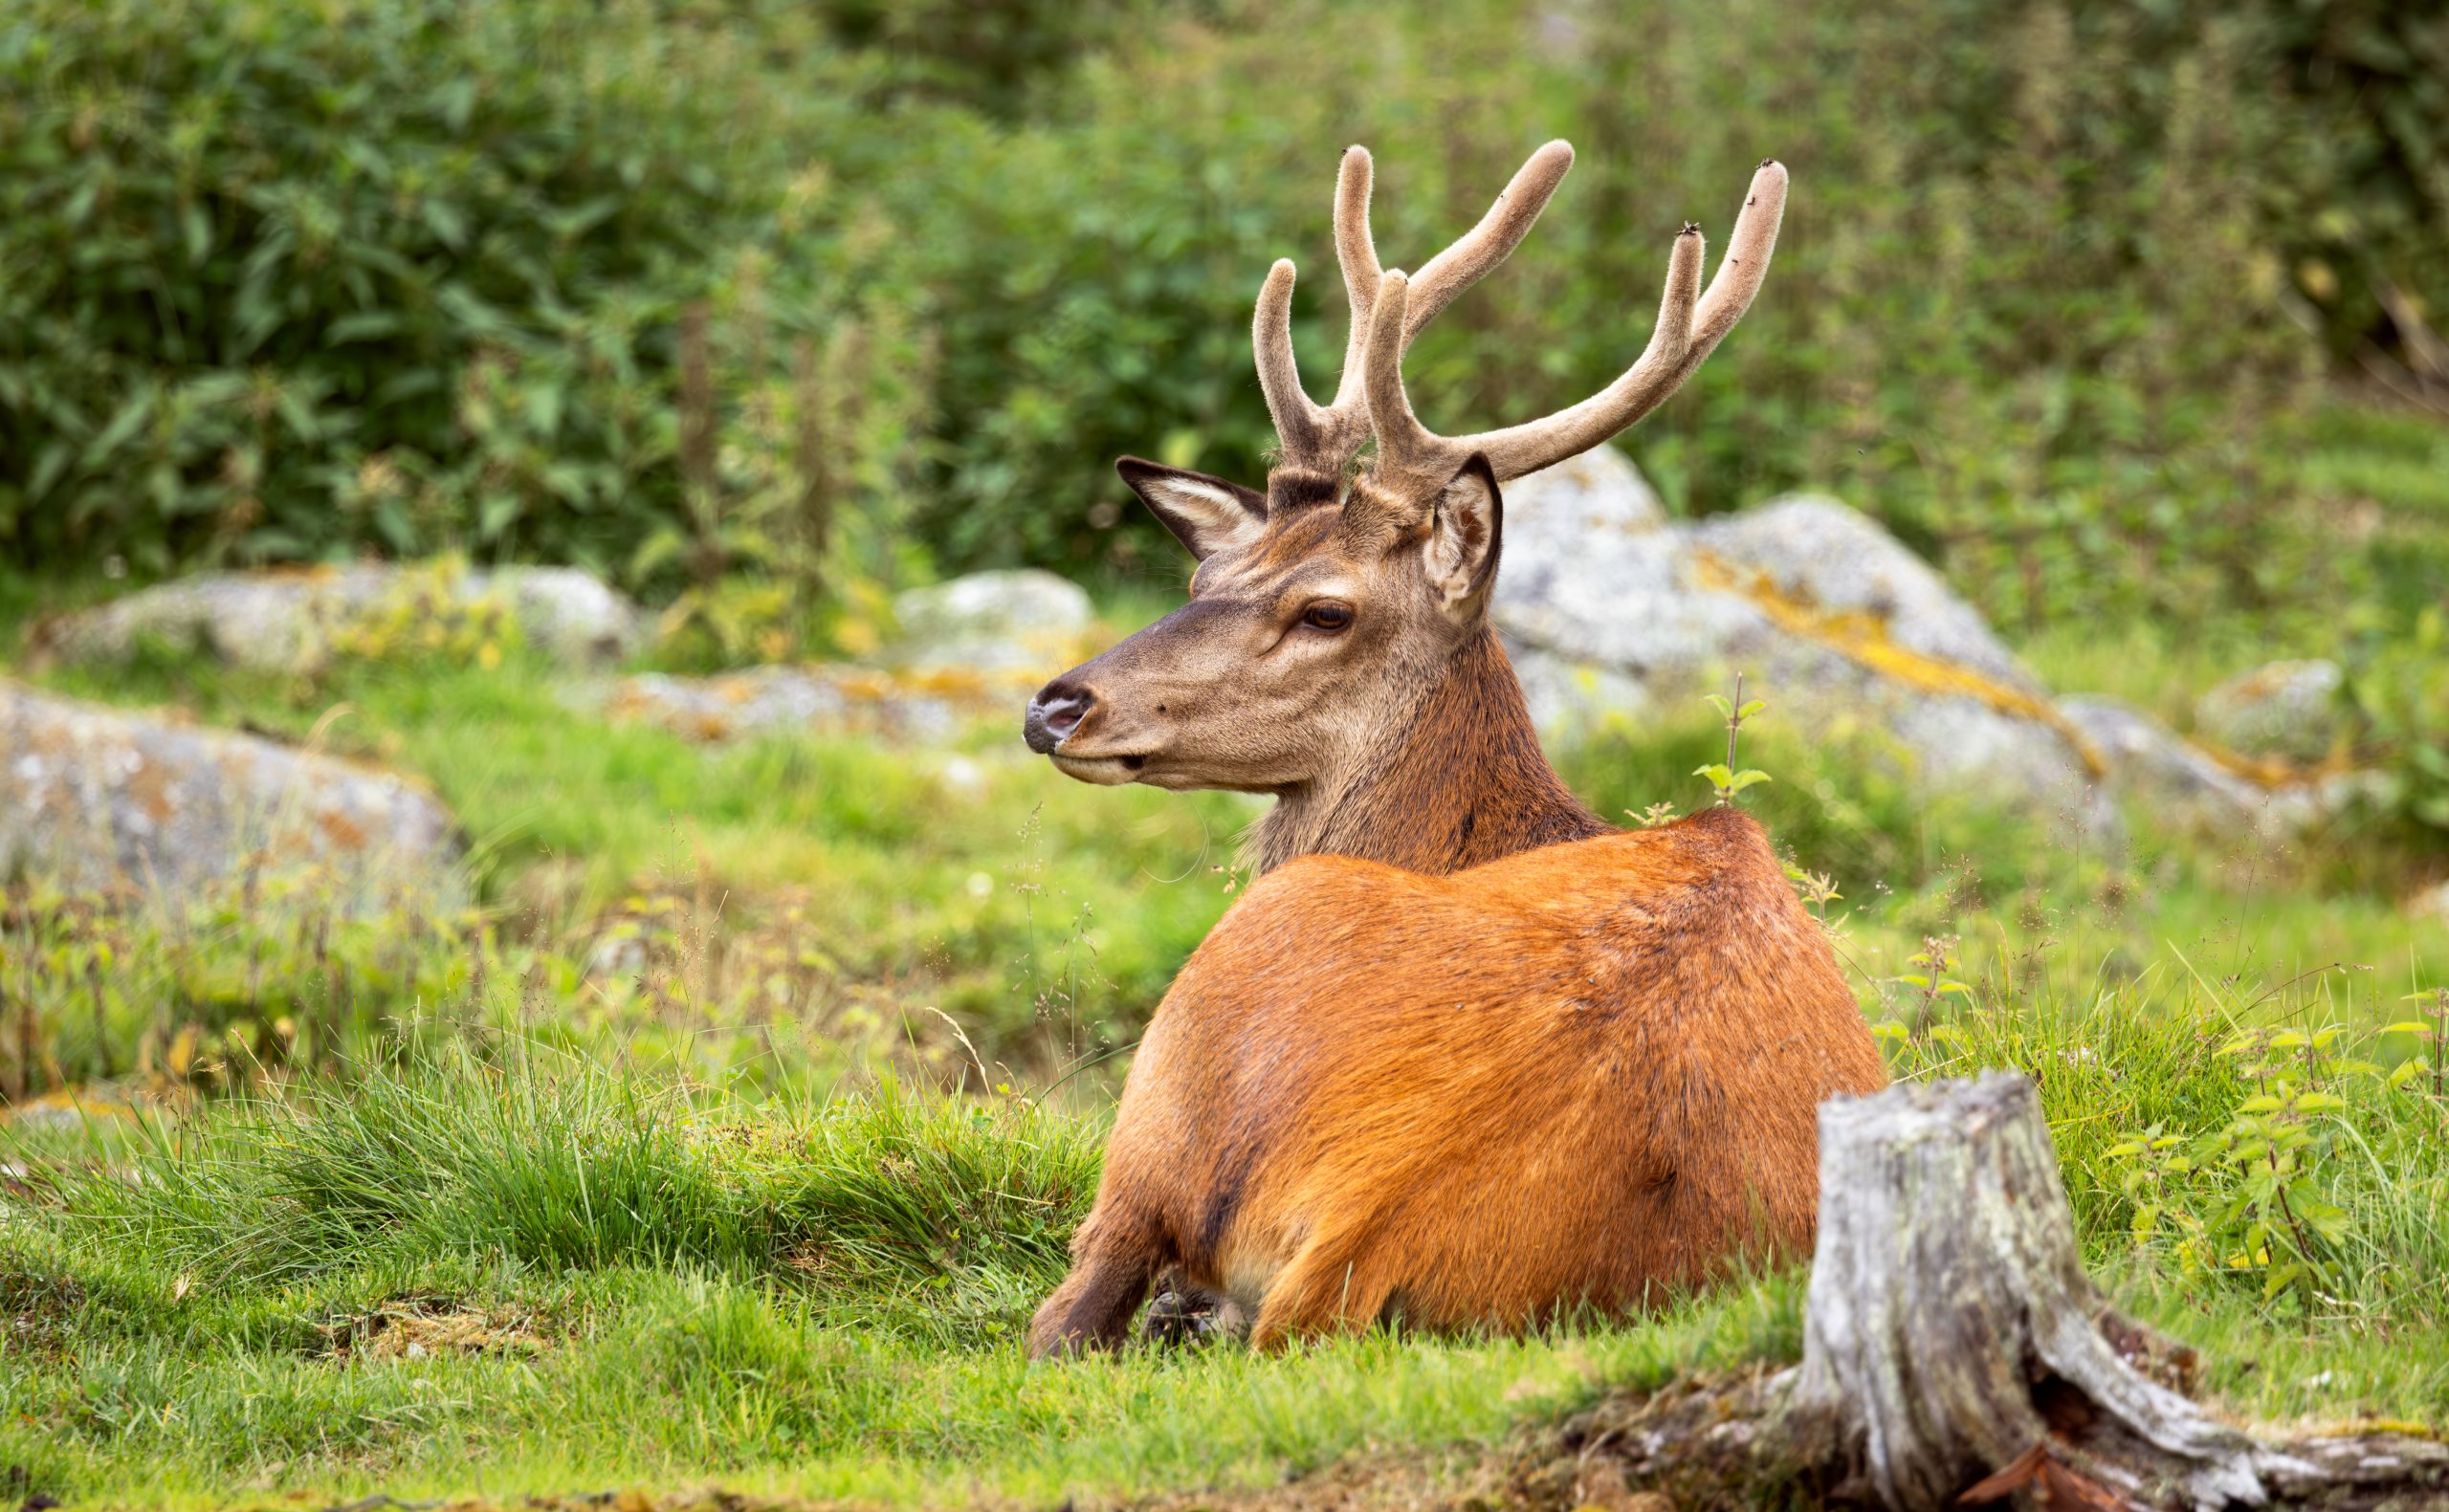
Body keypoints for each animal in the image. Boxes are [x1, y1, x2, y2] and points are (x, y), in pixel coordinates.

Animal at [1020, 144, 1888, 1358]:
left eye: (1325, 610)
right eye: (1203, 577)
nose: (1058, 706)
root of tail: (1370, 1218)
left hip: (1177, 1072)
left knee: (1067, 1310)